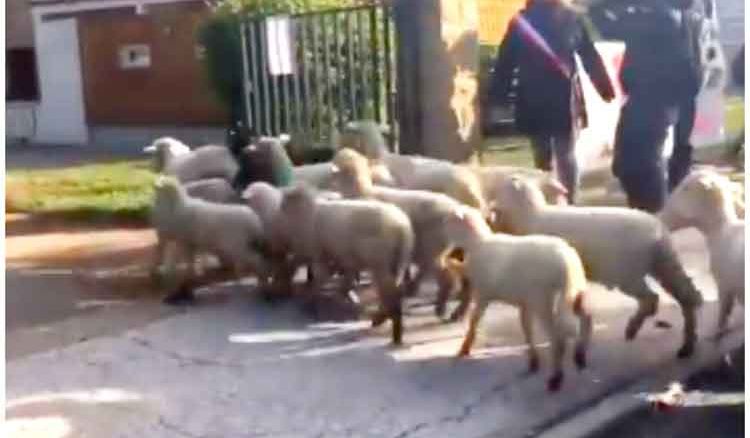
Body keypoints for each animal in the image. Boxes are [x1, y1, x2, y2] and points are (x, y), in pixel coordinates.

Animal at [278, 185, 414, 346]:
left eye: (285, 203)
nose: (280, 210)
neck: (309, 213)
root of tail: (403, 227)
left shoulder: (320, 255)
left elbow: (321, 280)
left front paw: (310, 304)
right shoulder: (343, 259)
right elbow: (344, 281)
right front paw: (348, 298)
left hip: (380, 263)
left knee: (391, 294)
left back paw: (392, 331)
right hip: (394, 262)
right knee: (394, 292)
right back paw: (384, 321)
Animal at [332, 149, 468, 316]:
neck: (362, 191)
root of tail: (455, 209)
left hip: (431, 248)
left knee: (446, 277)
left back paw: (440, 308)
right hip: (435, 249)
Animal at [440, 207, 592, 392]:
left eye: (448, 219)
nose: (440, 227)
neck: (477, 243)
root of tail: (567, 263)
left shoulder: (483, 294)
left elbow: (474, 321)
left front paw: (464, 349)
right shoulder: (524, 303)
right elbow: (526, 329)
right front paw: (533, 361)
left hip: (544, 300)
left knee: (558, 337)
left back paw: (556, 378)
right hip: (574, 292)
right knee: (586, 318)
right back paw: (580, 356)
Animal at [490, 178, 708, 360]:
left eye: (502, 188)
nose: (491, 205)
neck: (531, 215)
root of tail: (658, 231)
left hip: (627, 272)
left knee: (651, 299)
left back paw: (632, 329)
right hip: (664, 264)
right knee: (689, 297)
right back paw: (688, 344)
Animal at [664, 171, 748, 338]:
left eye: (685, 188)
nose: (660, 216)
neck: (722, 231)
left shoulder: (724, 285)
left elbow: (724, 312)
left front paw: (718, 331)